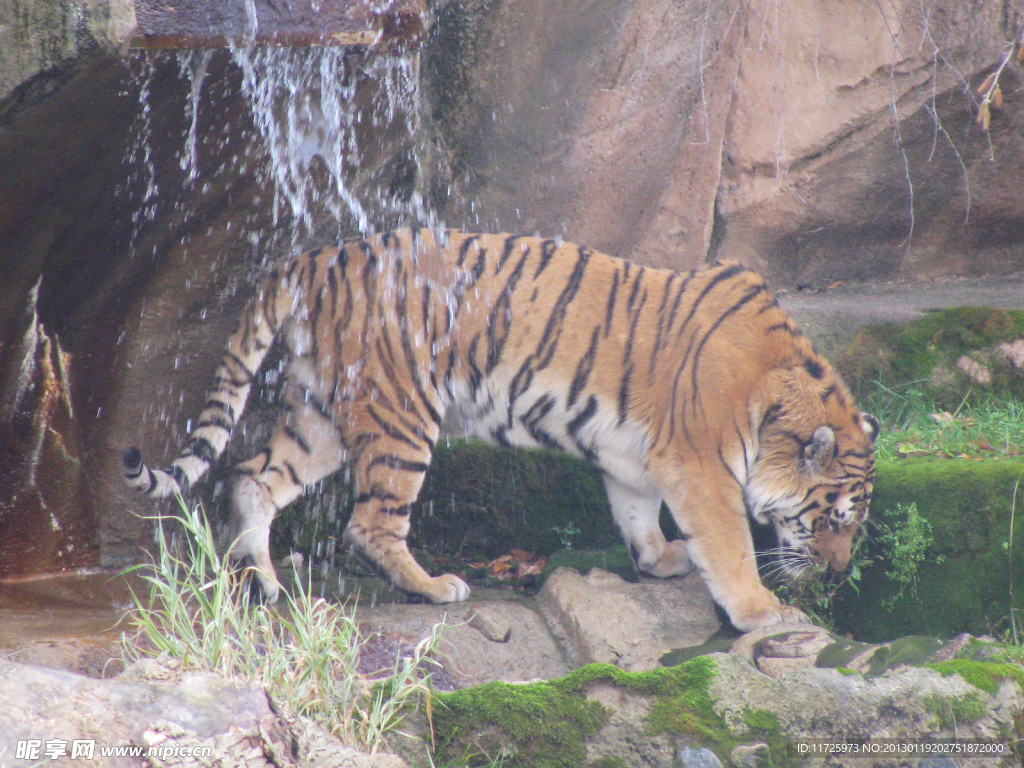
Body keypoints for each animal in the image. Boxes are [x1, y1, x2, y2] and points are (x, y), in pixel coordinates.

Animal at [122, 227, 879, 632]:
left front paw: (659, 559)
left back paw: (263, 580)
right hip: (400, 415)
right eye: (835, 519)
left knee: (254, 478)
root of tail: (310, 260)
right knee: (370, 523)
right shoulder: (700, 467)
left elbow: (637, 512)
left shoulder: (634, 455)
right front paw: (763, 612)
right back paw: (434, 586)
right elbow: (729, 546)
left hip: (322, 414)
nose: (841, 573)